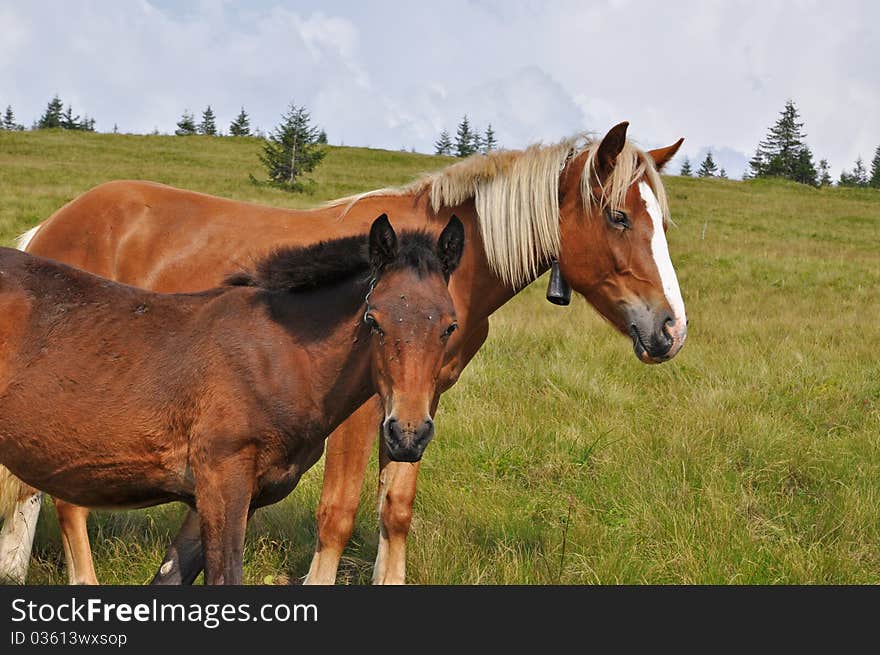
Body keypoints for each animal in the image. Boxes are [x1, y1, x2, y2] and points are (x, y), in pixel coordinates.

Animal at [0, 218, 464, 588]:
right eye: (374, 320)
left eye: (449, 325)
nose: (407, 434)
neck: (279, 356)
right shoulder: (223, 480)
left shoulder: (227, 495)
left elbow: (170, 577)